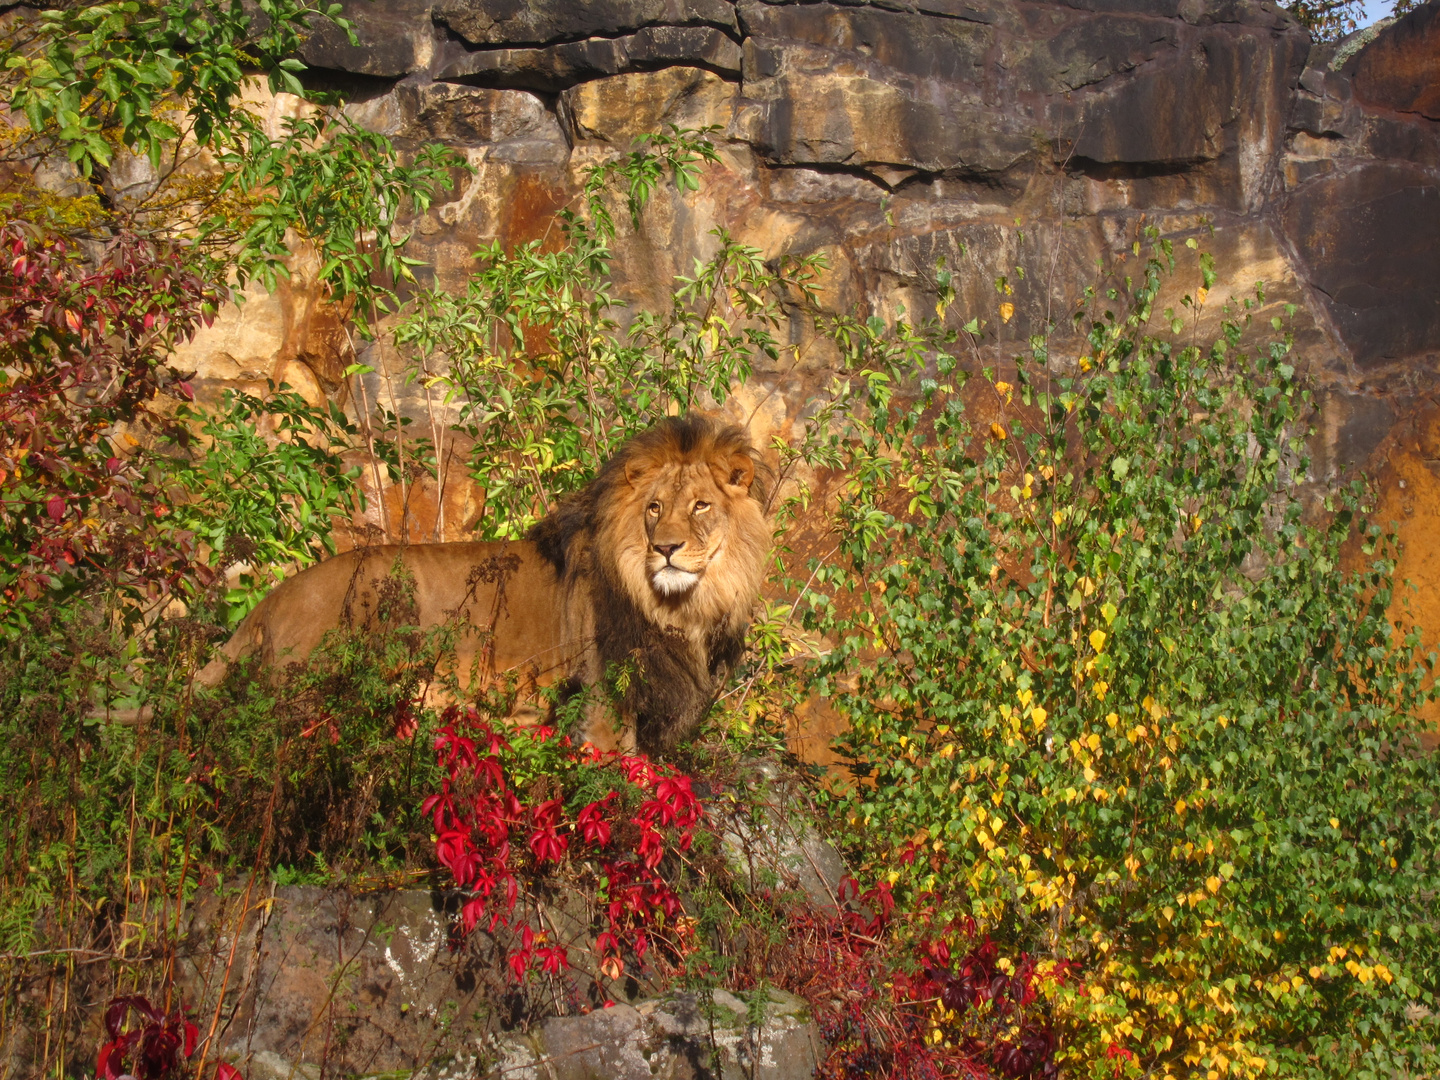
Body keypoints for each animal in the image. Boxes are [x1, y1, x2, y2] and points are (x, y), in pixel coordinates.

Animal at [200, 417, 777, 754]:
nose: (666, 548)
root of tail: (268, 602)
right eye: (654, 508)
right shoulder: (604, 698)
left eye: (700, 506)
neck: (679, 607)